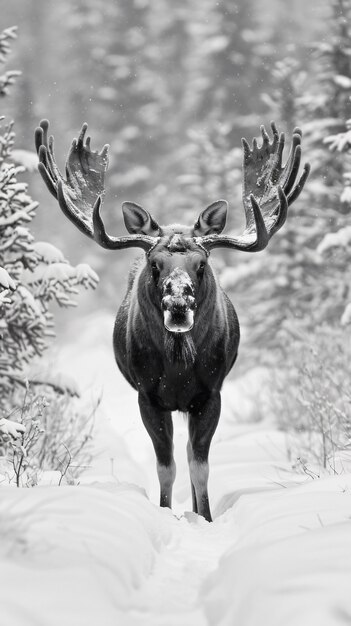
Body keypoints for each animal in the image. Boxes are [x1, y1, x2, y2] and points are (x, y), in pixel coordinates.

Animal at [35, 119, 310, 520]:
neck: (179, 366)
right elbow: (166, 466)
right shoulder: (147, 395)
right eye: (154, 264)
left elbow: (199, 466)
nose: (178, 303)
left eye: (202, 264)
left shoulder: (211, 393)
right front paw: (166, 511)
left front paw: (204, 517)